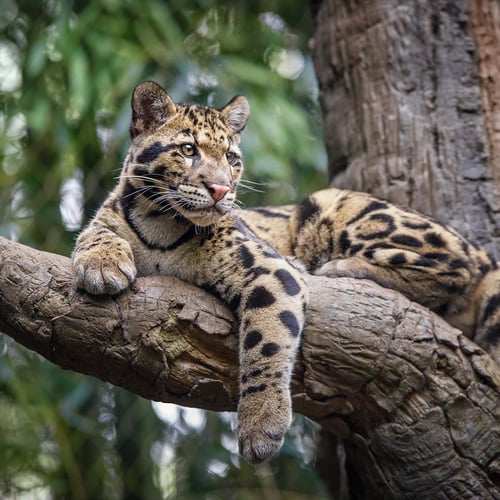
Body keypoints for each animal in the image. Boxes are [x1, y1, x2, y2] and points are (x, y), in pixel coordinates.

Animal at [73, 79, 500, 464]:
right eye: (188, 150)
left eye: (232, 159)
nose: (220, 190)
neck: (161, 222)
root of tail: (481, 251)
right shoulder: (109, 216)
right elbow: (94, 232)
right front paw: (101, 265)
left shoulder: (267, 268)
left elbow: (266, 341)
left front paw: (261, 424)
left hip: (336, 206)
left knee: (454, 270)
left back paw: (339, 266)